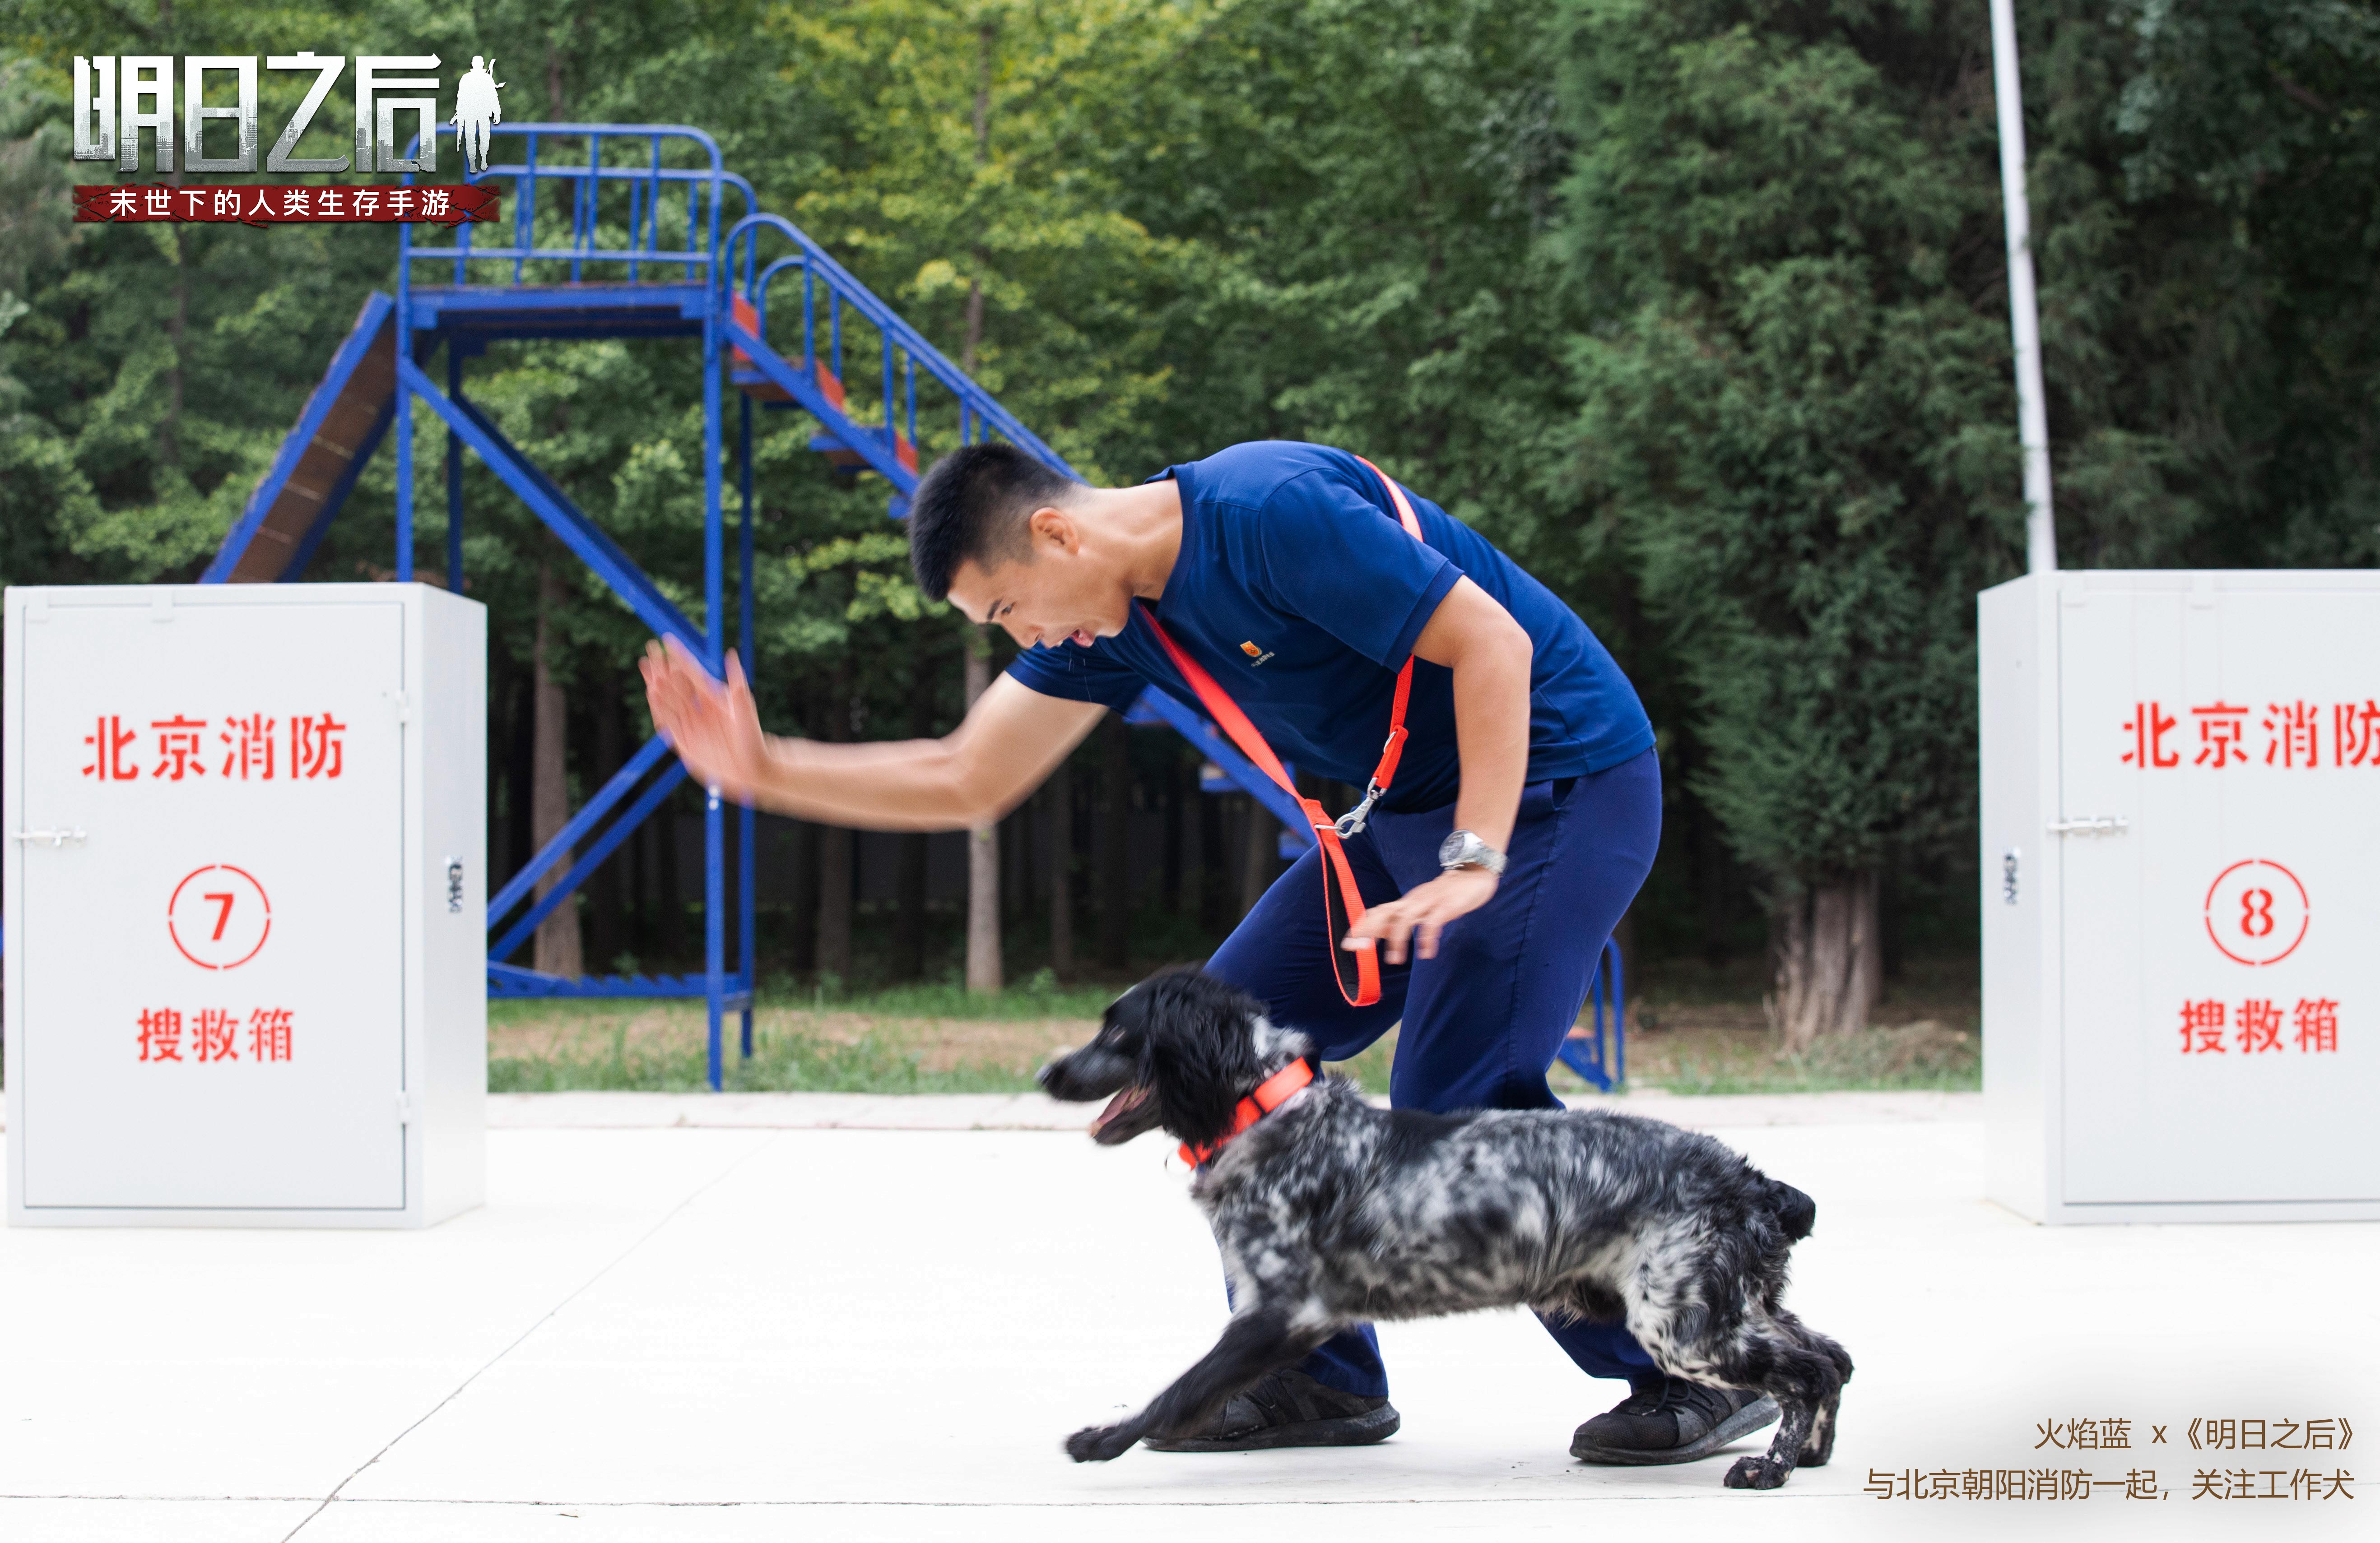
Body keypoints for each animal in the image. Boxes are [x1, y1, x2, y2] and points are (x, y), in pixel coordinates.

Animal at [1042, 970, 1856, 1483]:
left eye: (1117, 1032)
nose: (1046, 1072)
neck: (1269, 1111)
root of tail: (1751, 1179)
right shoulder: (1293, 1315)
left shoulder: (1281, 1311)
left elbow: (1177, 1390)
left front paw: (1100, 1439)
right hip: (1737, 1303)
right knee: (1833, 1356)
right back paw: (1811, 1454)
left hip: (1685, 1325)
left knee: (1806, 1372)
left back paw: (1770, 1467)